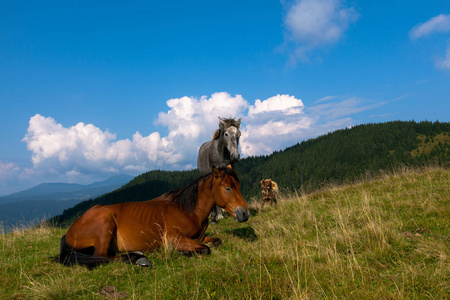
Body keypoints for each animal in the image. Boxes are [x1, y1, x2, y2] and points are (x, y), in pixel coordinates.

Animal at [57, 168, 250, 268]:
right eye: (227, 188)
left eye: (238, 186)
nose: (244, 213)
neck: (187, 210)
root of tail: (70, 231)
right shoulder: (174, 239)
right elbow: (205, 249)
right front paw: (183, 253)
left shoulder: (200, 237)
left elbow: (216, 242)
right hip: (105, 223)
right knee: (102, 257)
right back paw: (137, 258)